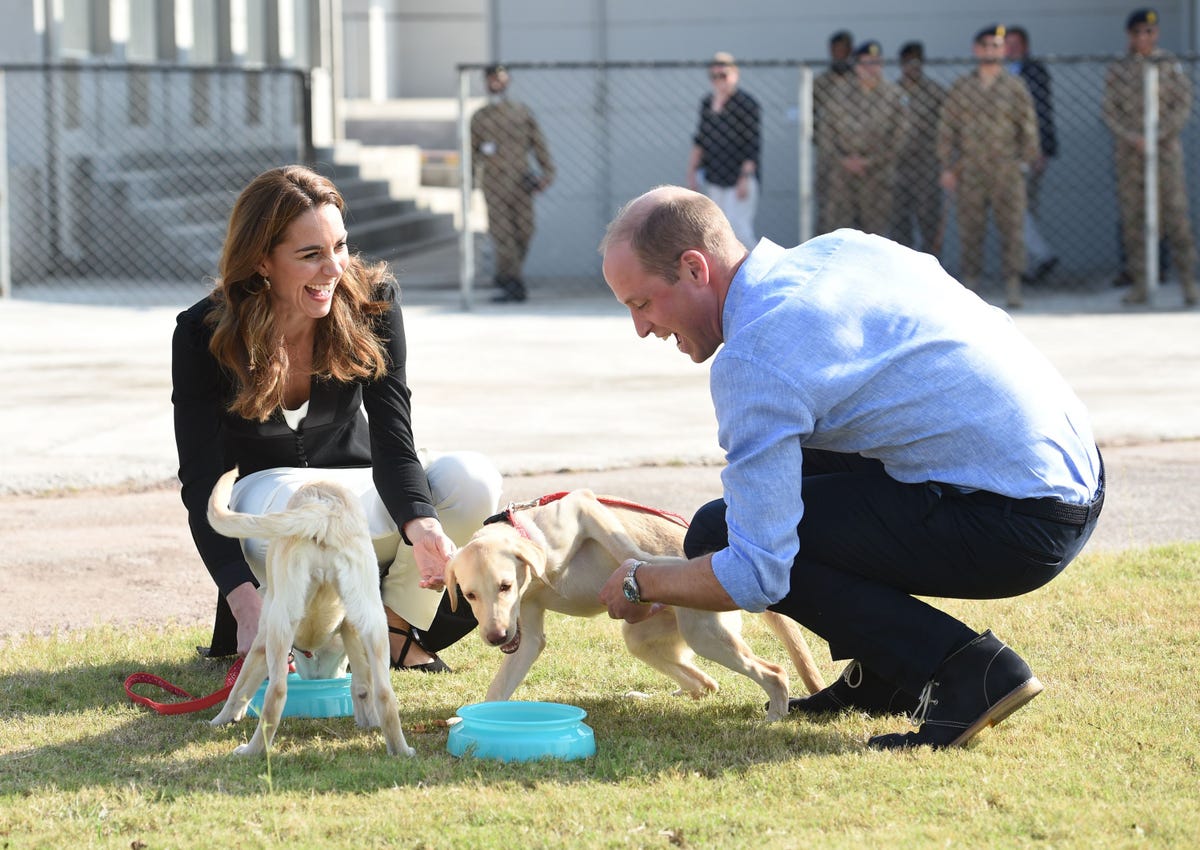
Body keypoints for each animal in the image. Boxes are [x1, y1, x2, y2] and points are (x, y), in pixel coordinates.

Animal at [204, 470, 415, 758]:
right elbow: (362, 685)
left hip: (281, 621)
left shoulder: (261, 639)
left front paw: (220, 719)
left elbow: (240, 687)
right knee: (384, 692)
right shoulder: (350, 627)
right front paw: (368, 719)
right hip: (373, 618)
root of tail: (324, 510)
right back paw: (401, 750)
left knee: (276, 693)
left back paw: (251, 750)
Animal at [441, 487, 825, 720]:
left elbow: (624, 546)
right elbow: (498, 688)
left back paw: (774, 715)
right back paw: (653, 697)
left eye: (505, 586)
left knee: (773, 672)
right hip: (644, 640)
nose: (496, 637)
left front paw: (645, 564)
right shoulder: (529, 637)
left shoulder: (583, 505)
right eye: (469, 594)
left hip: (707, 636)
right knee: (706, 684)